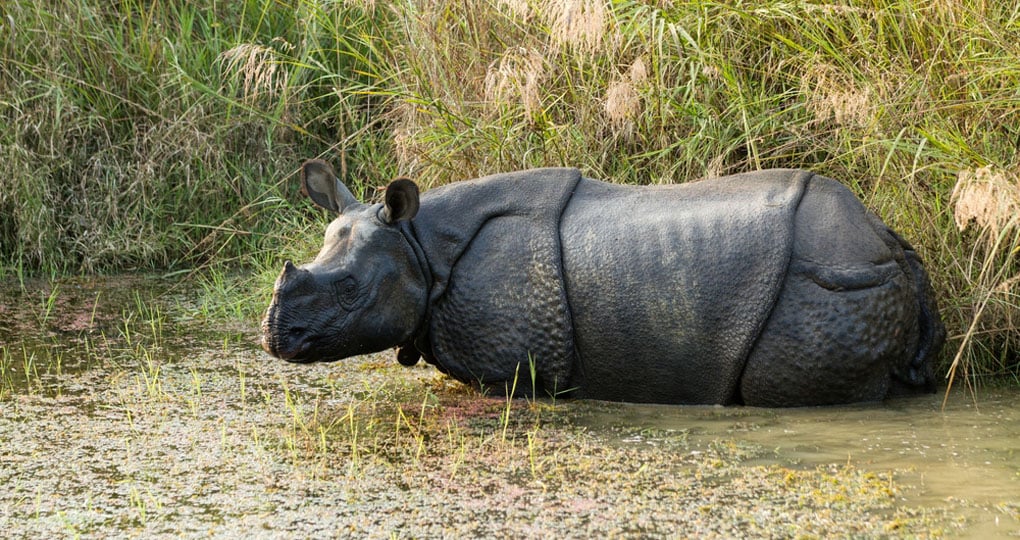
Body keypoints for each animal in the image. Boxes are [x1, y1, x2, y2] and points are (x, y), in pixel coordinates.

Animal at [261, 159, 944, 407]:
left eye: (350, 290)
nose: (274, 337)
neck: (422, 246)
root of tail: (890, 241)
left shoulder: (516, 370)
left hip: (832, 282)